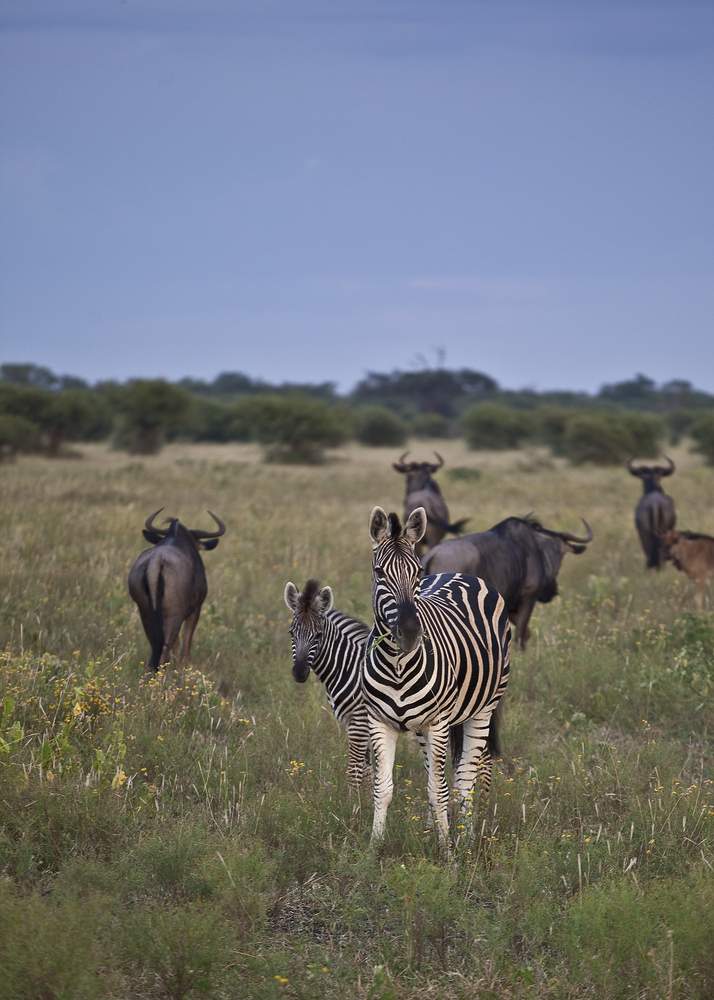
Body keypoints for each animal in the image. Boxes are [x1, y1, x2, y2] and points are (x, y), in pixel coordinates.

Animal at [284, 580, 372, 788]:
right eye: (291, 633)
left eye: (318, 635)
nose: (299, 673)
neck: (348, 667)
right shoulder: (355, 723)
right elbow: (368, 771)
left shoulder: (359, 723)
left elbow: (355, 773)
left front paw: (352, 798)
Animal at [364, 504, 508, 848]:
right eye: (379, 573)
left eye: (416, 573)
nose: (410, 633)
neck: (397, 664)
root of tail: (460, 573)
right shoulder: (379, 722)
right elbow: (383, 789)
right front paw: (372, 850)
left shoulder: (438, 723)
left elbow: (438, 791)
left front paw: (447, 853)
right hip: (422, 728)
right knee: (438, 770)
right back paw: (433, 831)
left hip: (484, 707)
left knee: (467, 776)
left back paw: (468, 842)